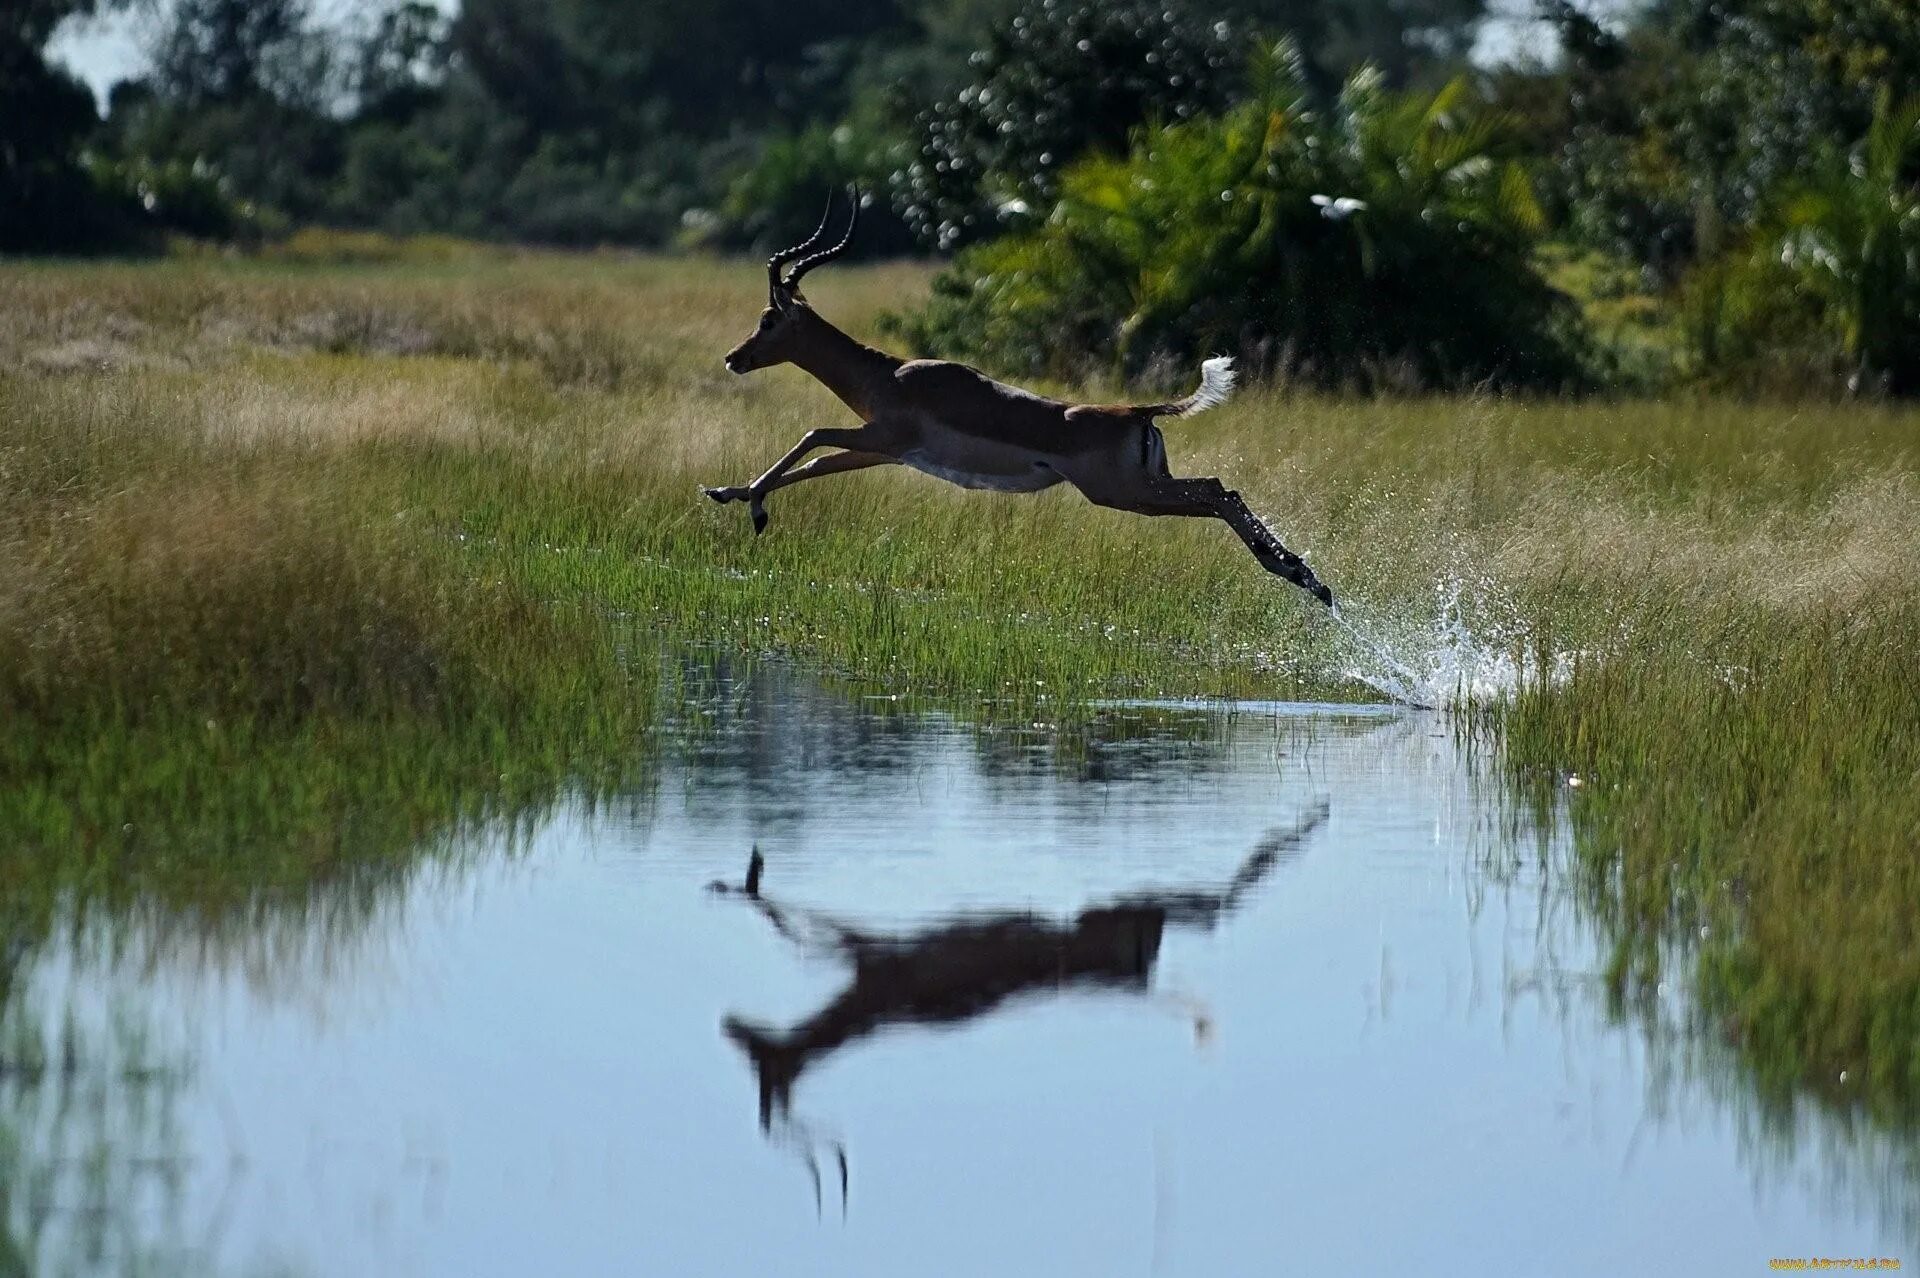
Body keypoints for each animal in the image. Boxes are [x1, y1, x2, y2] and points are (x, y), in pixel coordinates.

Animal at [706, 189, 1336, 606]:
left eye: (768, 318)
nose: (734, 358)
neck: (890, 374)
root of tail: (1137, 411)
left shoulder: (883, 436)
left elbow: (810, 436)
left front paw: (752, 507)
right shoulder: (883, 450)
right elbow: (814, 464)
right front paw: (729, 493)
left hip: (1125, 493)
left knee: (1219, 495)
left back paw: (1307, 580)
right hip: (1147, 485)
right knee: (1220, 488)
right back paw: (1308, 579)